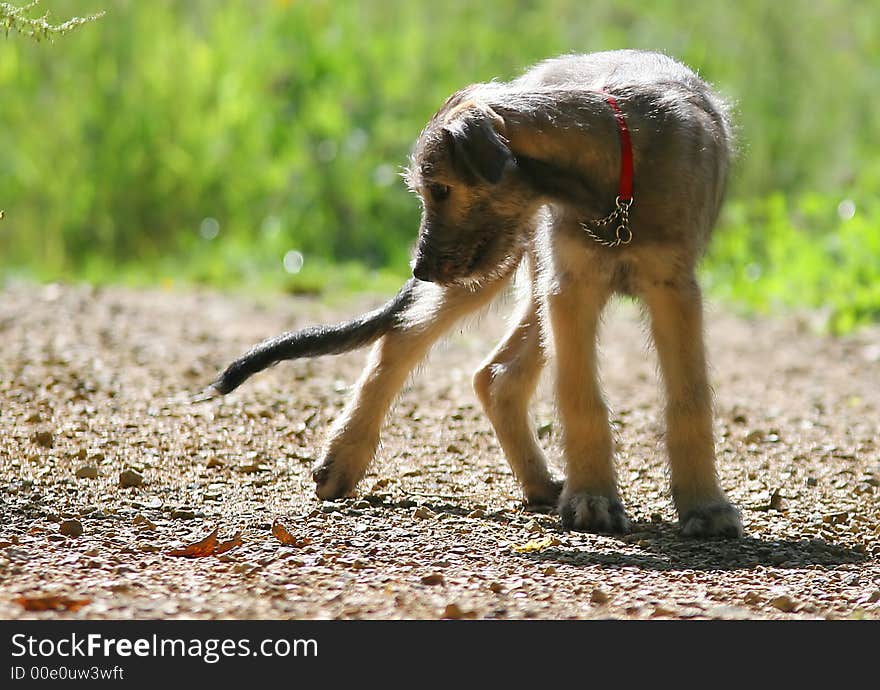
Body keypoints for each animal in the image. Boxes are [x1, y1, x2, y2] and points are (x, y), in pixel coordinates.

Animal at [205, 49, 744, 536]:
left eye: (440, 189)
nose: (419, 268)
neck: (618, 163)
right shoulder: (570, 289)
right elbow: (580, 398)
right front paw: (593, 498)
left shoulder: (673, 289)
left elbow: (689, 397)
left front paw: (704, 506)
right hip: (492, 274)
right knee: (404, 338)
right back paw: (343, 458)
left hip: (512, 277)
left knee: (496, 375)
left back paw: (539, 482)